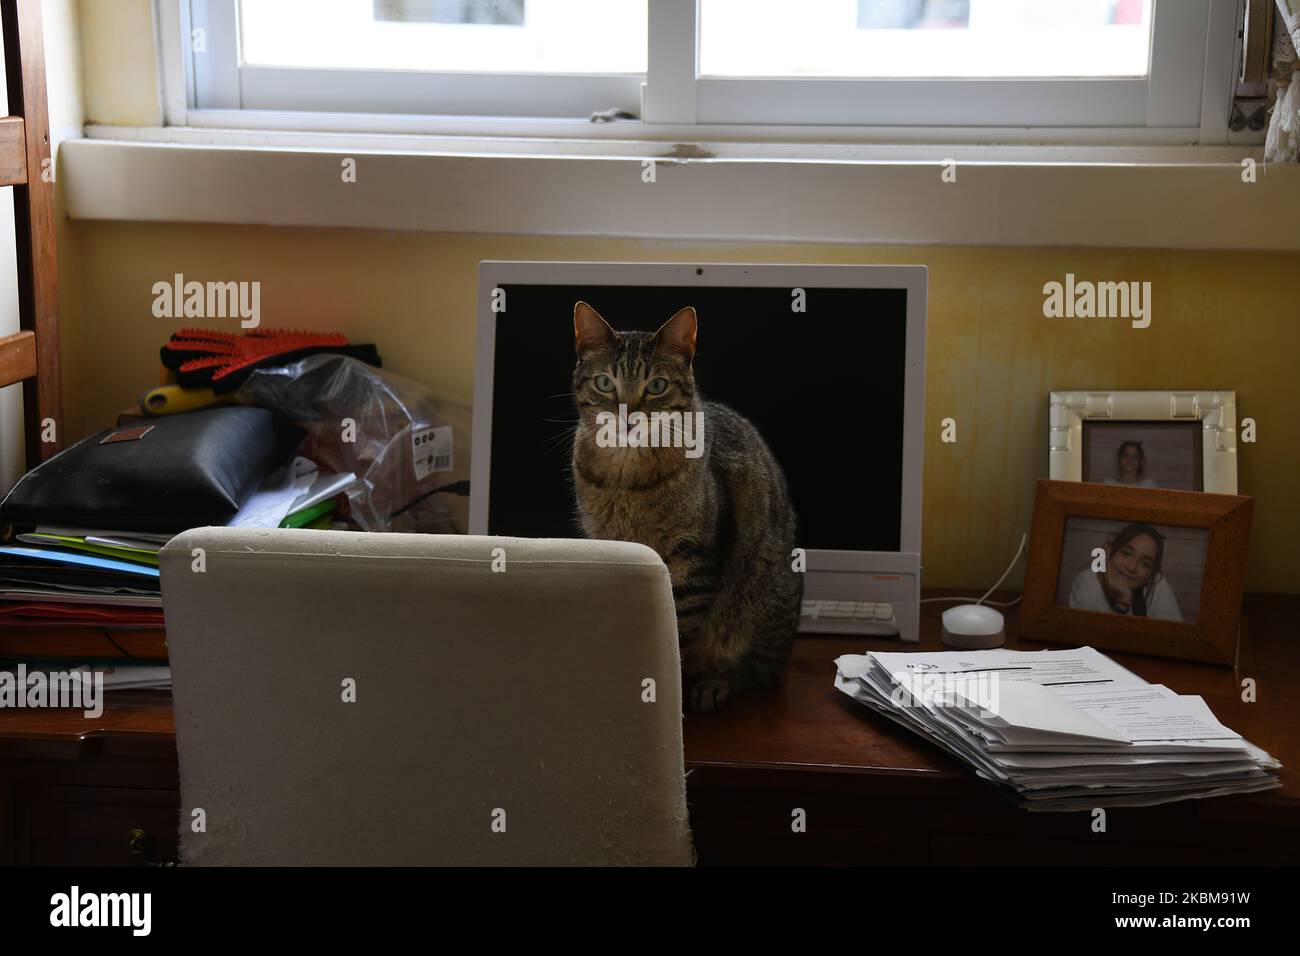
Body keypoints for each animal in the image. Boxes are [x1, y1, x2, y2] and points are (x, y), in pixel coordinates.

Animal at [569, 299, 800, 712]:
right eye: (605, 383)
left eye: (656, 386)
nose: (628, 416)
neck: (625, 479)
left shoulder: (691, 561)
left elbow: (674, 639)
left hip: (757, 601)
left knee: (759, 672)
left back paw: (714, 685)